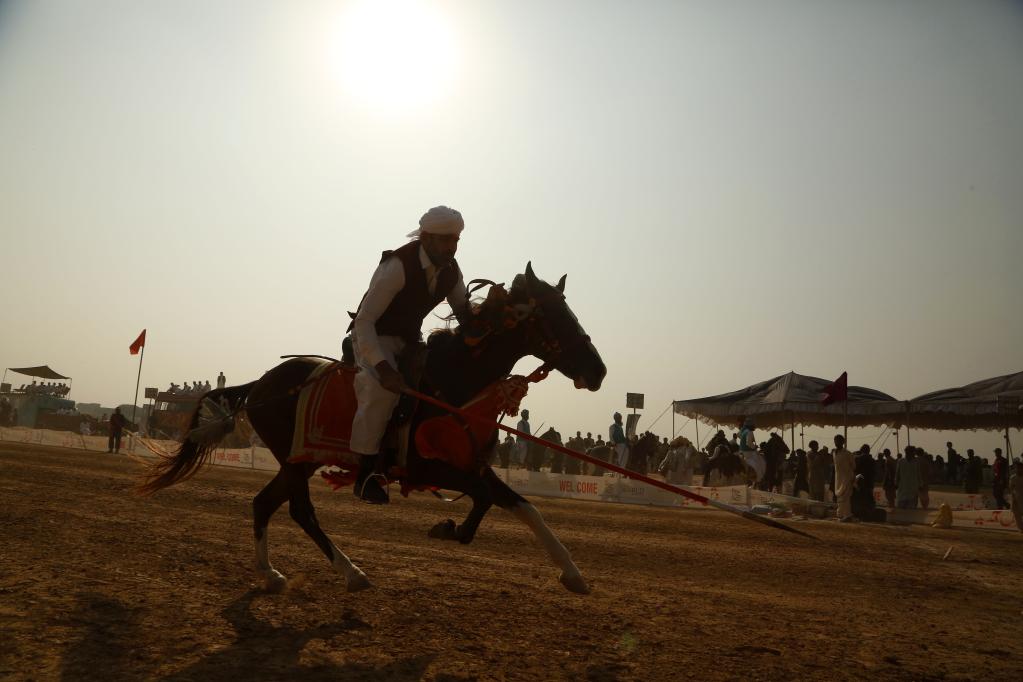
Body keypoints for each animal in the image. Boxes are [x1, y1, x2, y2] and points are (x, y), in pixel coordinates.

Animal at [144, 263, 605, 593]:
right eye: (555, 315)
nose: (598, 370)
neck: (450, 382)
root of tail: (260, 384)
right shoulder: (429, 468)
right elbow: (492, 499)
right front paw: (451, 528)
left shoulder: (470, 465)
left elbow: (520, 506)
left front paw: (571, 572)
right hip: (295, 462)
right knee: (298, 510)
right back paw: (351, 572)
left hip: (300, 461)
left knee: (264, 504)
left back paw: (270, 573)